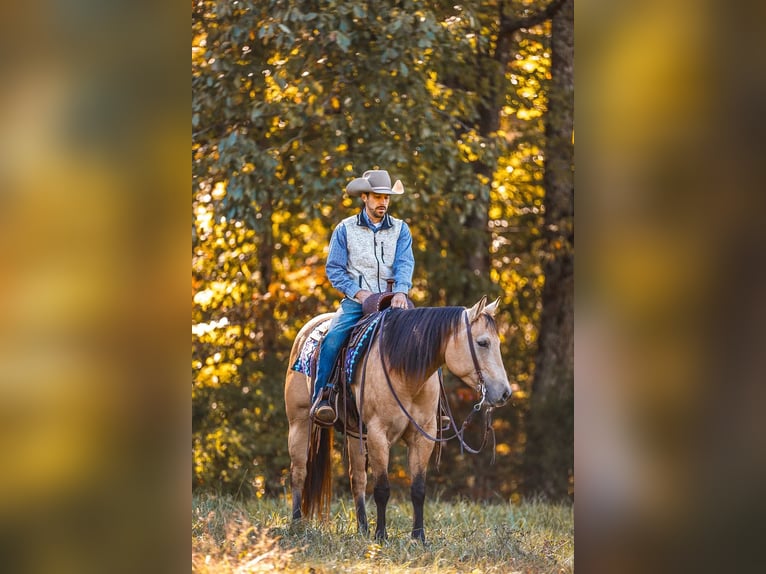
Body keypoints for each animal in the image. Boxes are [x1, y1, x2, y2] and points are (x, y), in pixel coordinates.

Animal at [284, 296, 512, 544]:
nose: (505, 393)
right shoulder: (377, 434)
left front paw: (418, 536)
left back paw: (362, 528)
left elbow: (418, 489)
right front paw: (381, 535)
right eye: (482, 343)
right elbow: (382, 488)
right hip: (299, 422)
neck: (404, 371)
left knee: (358, 479)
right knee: (299, 472)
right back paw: (296, 525)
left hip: (355, 432)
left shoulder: (423, 436)